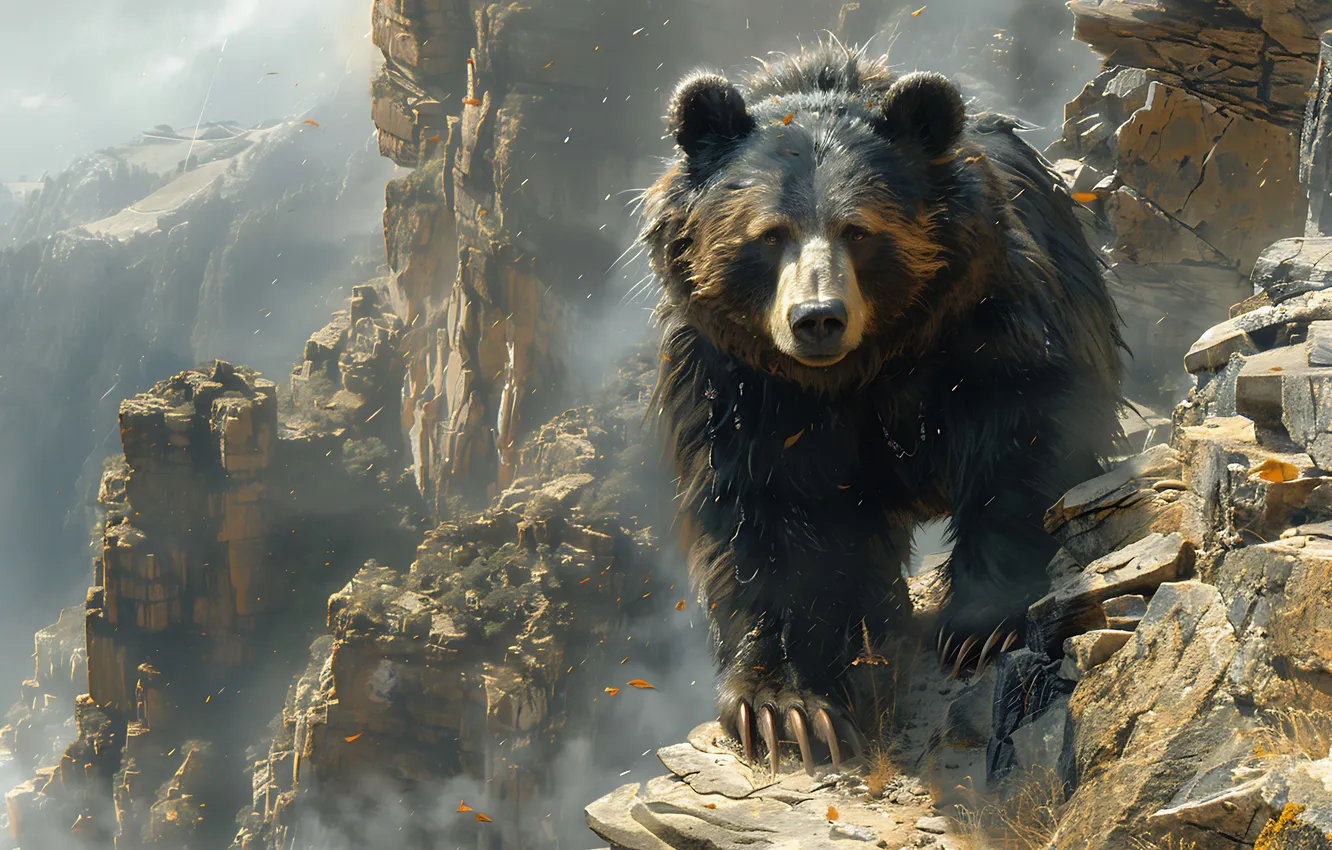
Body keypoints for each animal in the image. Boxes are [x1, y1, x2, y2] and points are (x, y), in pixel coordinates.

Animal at [641, 44, 1125, 774]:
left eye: (859, 230)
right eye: (769, 234)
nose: (817, 318)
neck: (863, 368)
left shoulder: (993, 321)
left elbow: (1025, 441)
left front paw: (979, 625)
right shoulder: (738, 386)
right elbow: (767, 520)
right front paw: (786, 709)